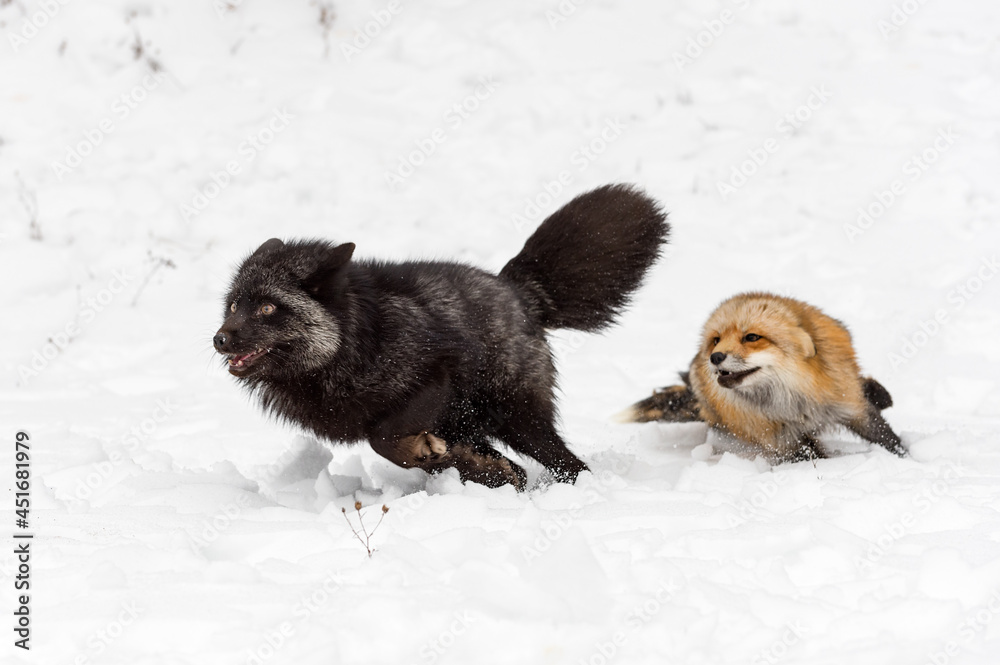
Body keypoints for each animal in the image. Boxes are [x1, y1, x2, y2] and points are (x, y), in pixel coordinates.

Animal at [217, 184, 672, 490]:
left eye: (268, 308)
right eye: (234, 305)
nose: (220, 339)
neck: (351, 344)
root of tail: (516, 288)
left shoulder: (435, 372)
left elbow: (385, 440)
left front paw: (423, 453)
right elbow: (395, 444)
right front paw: (451, 461)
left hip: (518, 417)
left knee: (569, 464)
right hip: (474, 423)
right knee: (516, 467)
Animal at [616, 294, 908, 460]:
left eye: (752, 337)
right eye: (716, 340)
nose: (715, 357)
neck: (795, 404)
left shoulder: (849, 404)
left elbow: (884, 436)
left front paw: (904, 458)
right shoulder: (783, 442)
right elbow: (813, 457)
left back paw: (878, 391)